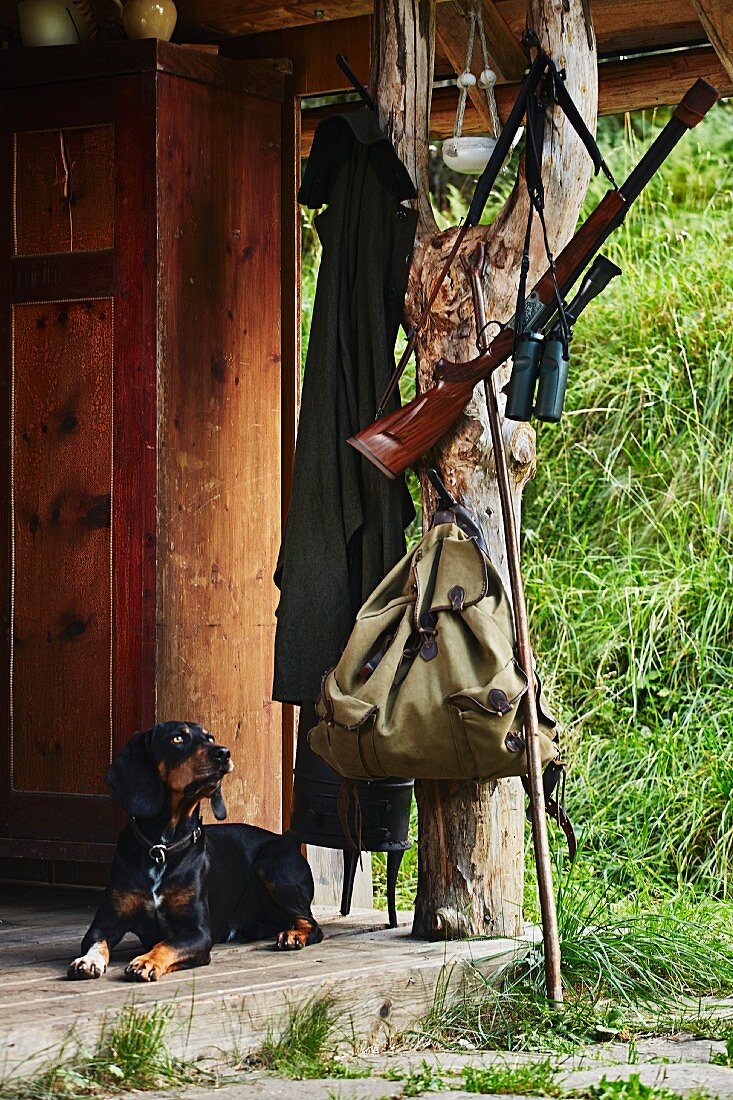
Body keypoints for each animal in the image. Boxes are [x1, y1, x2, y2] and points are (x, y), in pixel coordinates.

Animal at [67, 721, 319, 981]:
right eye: (177, 738)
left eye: (210, 737)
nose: (224, 753)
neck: (161, 848)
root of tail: (287, 841)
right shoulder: (104, 924)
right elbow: (95, 943)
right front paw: (88, 960)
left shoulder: (197, 932)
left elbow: (166, 944)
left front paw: (146, 961)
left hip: (273, 867)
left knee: (311, 924)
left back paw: (293, 935)